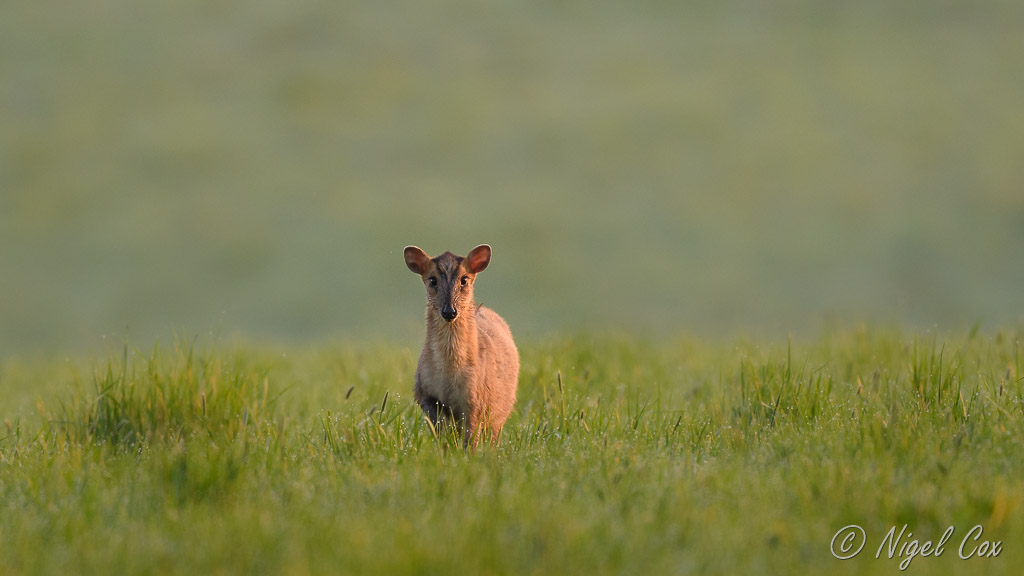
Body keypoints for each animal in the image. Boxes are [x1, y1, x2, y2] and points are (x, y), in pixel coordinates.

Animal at [403, 241, 520, 444]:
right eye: (432, 280)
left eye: (464, 279)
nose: (449, 311)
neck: (449, 371)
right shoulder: (423, 390)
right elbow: (439, 428)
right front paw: (444, 447)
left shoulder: (475, 399)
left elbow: (470, 438)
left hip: (501, 408)